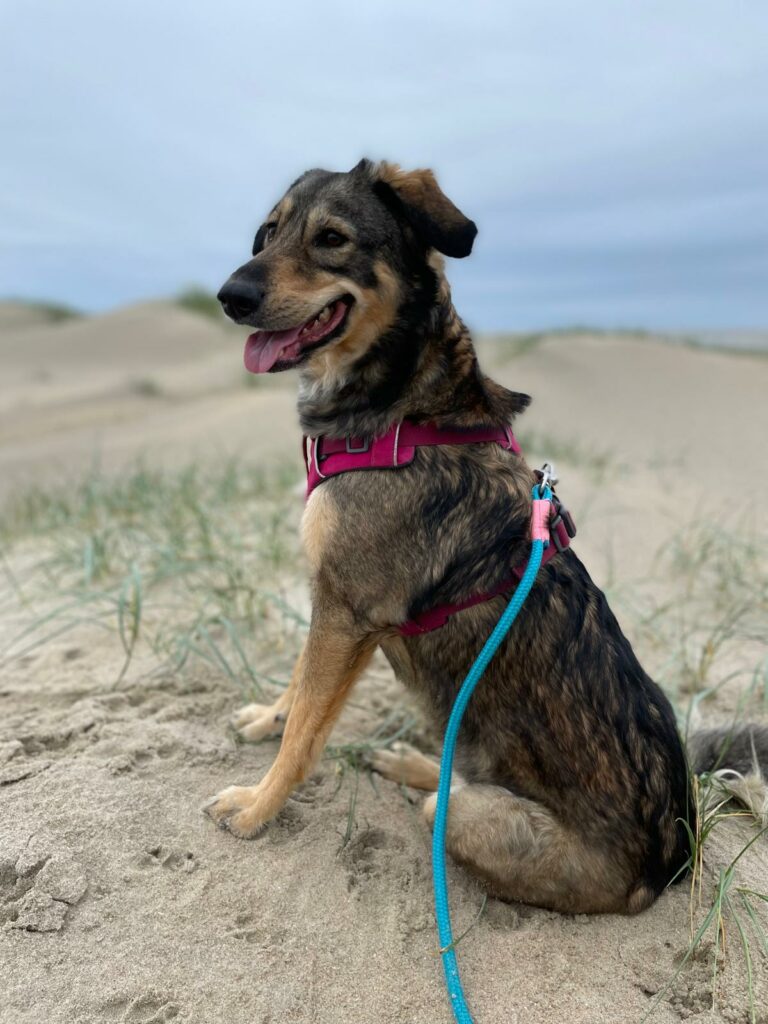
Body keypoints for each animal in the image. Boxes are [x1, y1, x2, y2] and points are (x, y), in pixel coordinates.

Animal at [205, 159, 768, 913]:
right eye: (268, 233)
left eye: (331, 239)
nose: (229, 296)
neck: (405, 409)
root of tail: (671, 860)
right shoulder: (334, 602)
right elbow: (296, 691)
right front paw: (266, 720)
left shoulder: (347, 612)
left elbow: (304, 737)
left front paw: (256, 806)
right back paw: (411, 759)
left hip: (473, 817)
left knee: (451, 797)